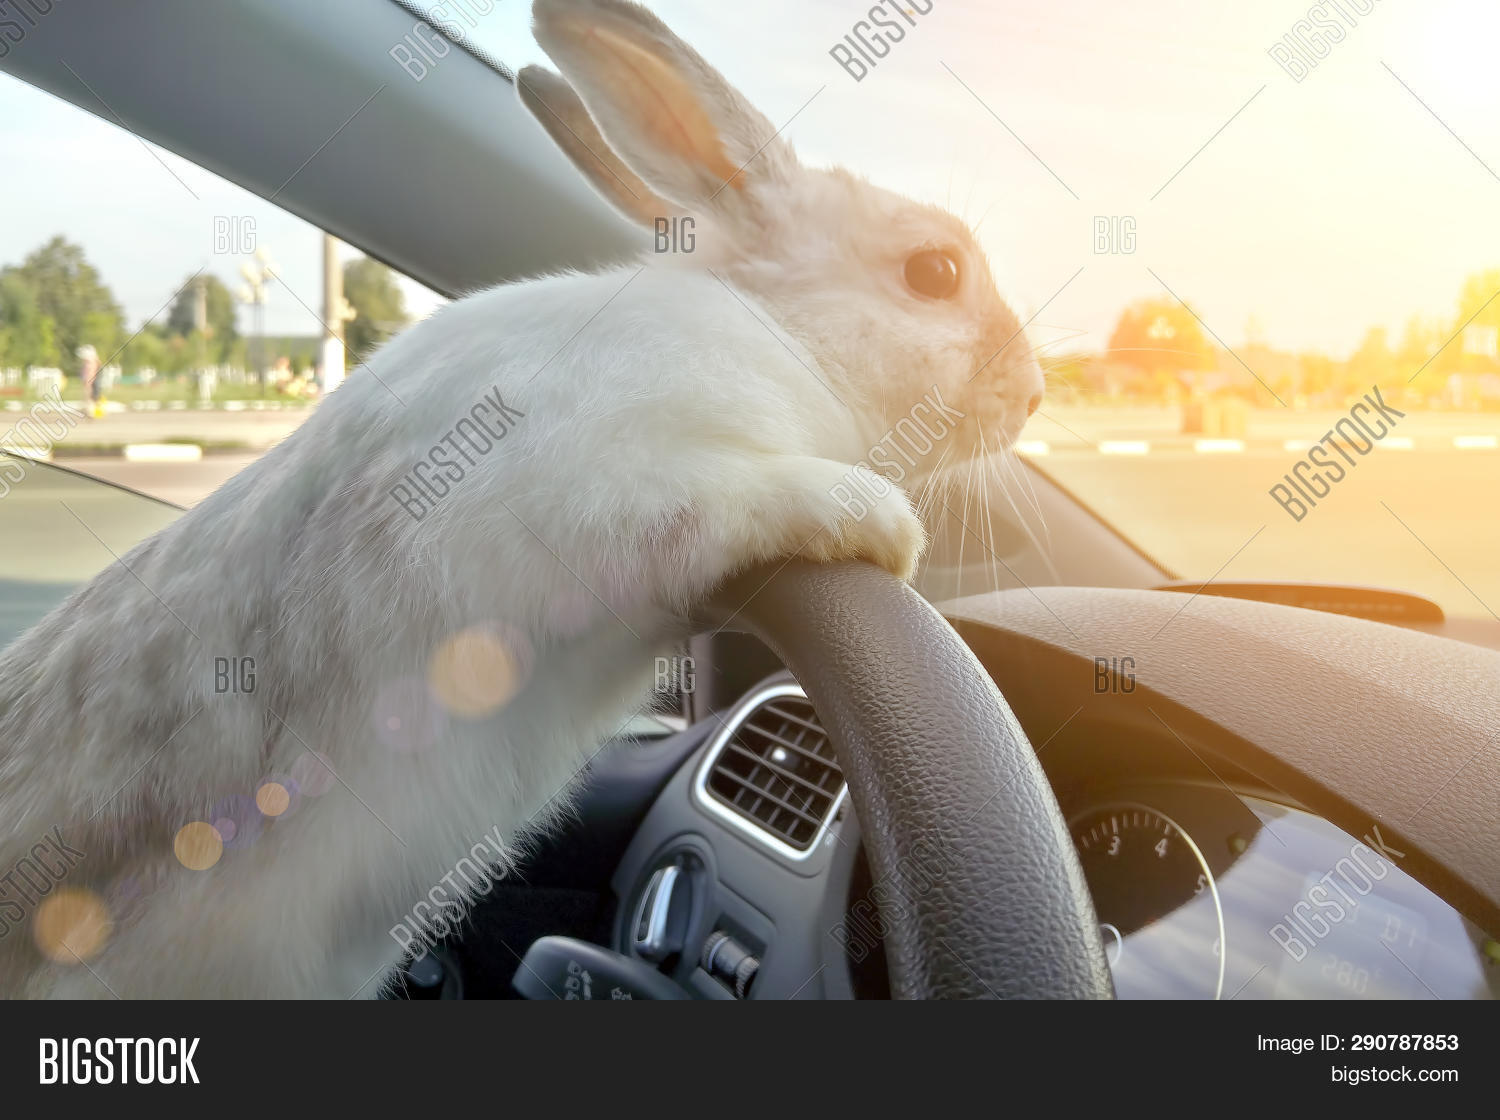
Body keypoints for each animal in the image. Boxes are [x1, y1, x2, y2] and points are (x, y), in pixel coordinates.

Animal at [0, 0, 1044, 998]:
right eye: (934, 271)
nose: (1034, 394)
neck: (782, 335)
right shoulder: (597, 489)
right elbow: (727, 505)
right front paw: (880, 523)